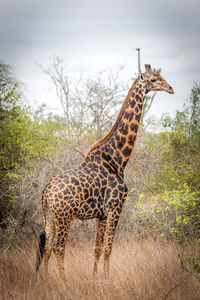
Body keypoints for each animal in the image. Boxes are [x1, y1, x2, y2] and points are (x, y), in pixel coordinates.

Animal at [35, 63, 173, 278]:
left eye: (161, 76)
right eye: (153, 79)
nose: (171, 88)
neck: (118, 159)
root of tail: (46, 192)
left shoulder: (101, 214)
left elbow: (97, 249)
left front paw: (94, 279)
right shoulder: (115, 208)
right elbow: (108, 249)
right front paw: (107, 280)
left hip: (48, 215)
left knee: (48, 246)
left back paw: (45, 281)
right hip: (65, 216)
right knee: (59, 247)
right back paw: (63, 282)